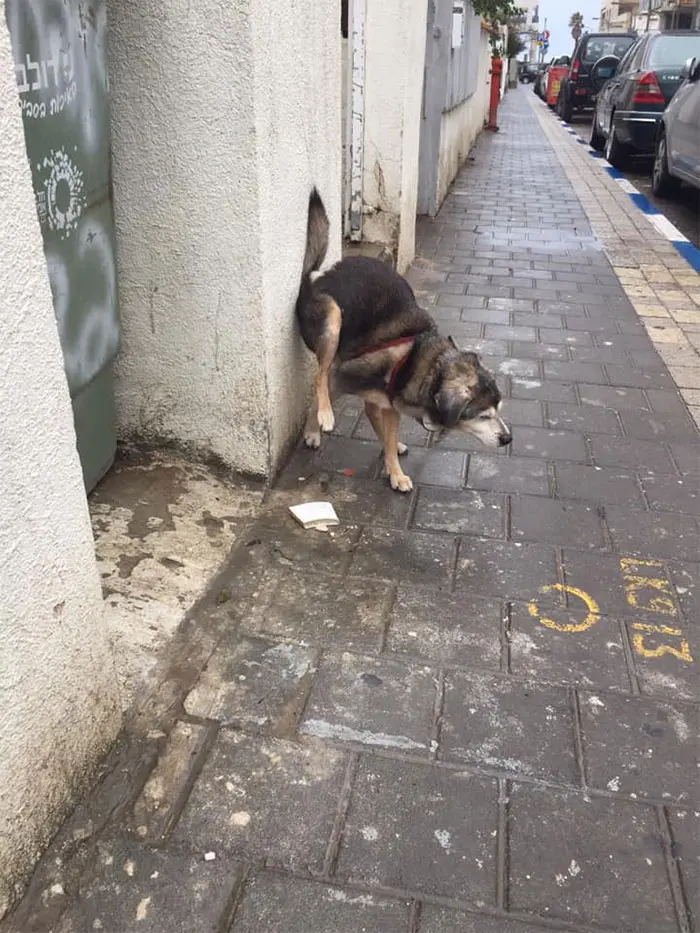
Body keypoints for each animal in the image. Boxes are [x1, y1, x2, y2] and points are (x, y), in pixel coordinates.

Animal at [292, 190, 512, 496]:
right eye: (482, 416)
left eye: (498, 410)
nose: (508, 439)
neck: (420, 363)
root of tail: (315, 276)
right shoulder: (344, 377)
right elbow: (322, 392)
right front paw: (313, 429)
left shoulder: (390, 404)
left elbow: (385, 430)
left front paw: (392, 462)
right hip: (332, 318)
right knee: (319, 377)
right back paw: (323, 416)